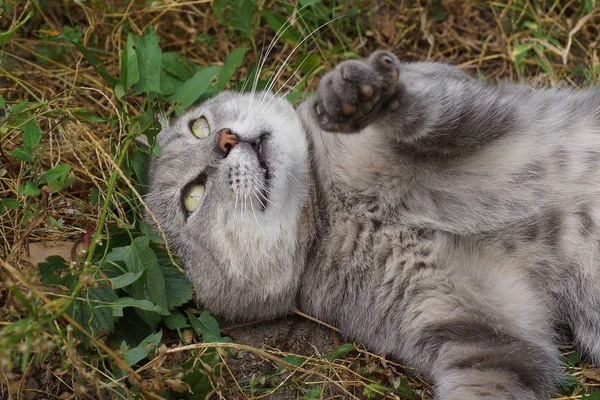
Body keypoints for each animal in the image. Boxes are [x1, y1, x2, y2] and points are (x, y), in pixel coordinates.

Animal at [144, 50, 600, 400]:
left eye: (199, 125)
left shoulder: (479, 108)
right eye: (192, 197)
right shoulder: (487, 336)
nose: (224, 139)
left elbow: (429, 110)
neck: (336, 204)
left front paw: (360, 96)